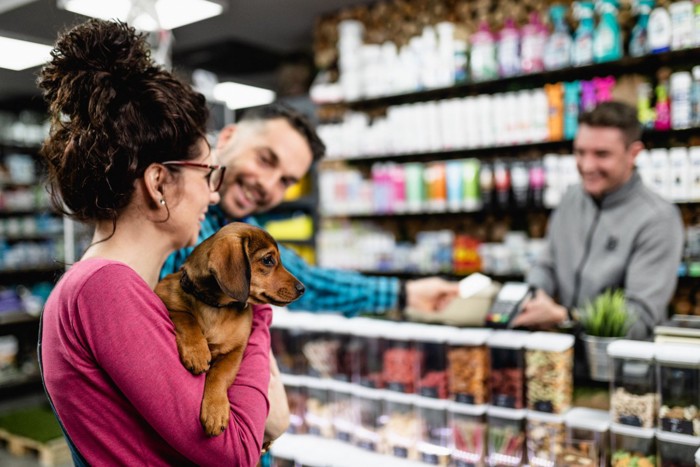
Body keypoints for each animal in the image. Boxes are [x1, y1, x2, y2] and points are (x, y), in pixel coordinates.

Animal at [156, 222, 304, 436]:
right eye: (268, 260)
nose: (302, 289)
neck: (216, 307)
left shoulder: (235, 352)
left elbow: (219, 375)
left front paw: (215, 411)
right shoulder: (166, 297)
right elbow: (187, 317)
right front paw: (197, 352)